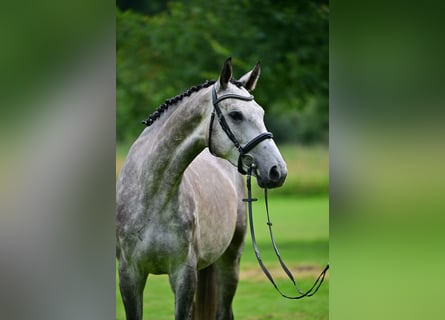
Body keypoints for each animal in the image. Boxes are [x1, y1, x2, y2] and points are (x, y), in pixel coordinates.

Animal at [116, 58, 286, 320]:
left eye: (261, 113)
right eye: (236, 115)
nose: (278, 170)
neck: (151, 197)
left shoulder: (184, 275)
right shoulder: (129, 275)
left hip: (230, 261)